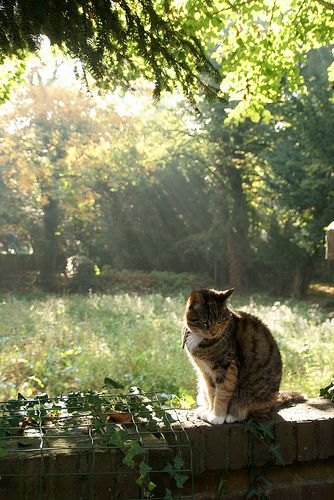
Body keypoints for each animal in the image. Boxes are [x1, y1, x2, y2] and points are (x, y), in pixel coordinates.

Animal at [183, 288, 282, 424]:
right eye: (204, 322)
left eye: (220, 321)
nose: (213, 332)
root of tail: (273, 406)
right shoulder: (205, 371)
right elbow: (211, 392)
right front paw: (209, 411)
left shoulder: (227, 367)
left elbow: (222, 393)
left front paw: (217, 416)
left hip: (253, 393)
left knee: (248, 412)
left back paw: (232, 415)